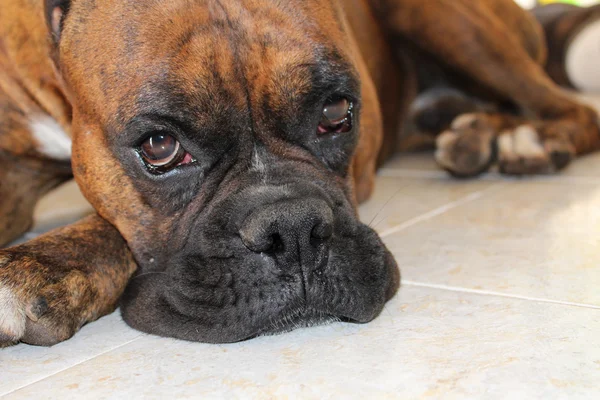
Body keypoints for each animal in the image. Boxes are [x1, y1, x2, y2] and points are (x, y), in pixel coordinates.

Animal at [0, 0, 596, 346]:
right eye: (160, 146)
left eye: (337, 112)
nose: (292, 228)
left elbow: (105, 224)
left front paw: (41, 262)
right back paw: (477, 134)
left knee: (570, 108)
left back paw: (527, 141)